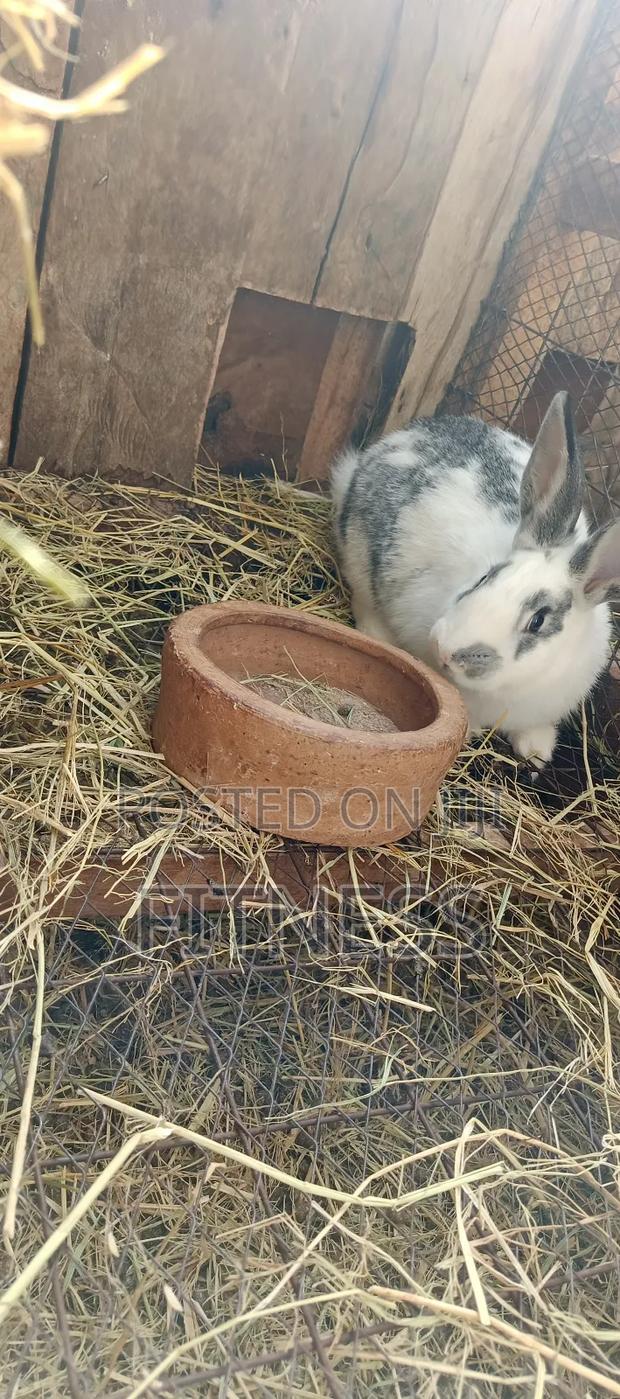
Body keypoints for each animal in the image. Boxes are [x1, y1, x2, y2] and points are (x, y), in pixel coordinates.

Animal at [331, 391, 620, 768]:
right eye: (485, 577)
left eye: (538, 621)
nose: (445, 648)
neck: (514, 688)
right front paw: (469, 731)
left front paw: (537, 751)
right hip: (358, 553)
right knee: (364, 599)